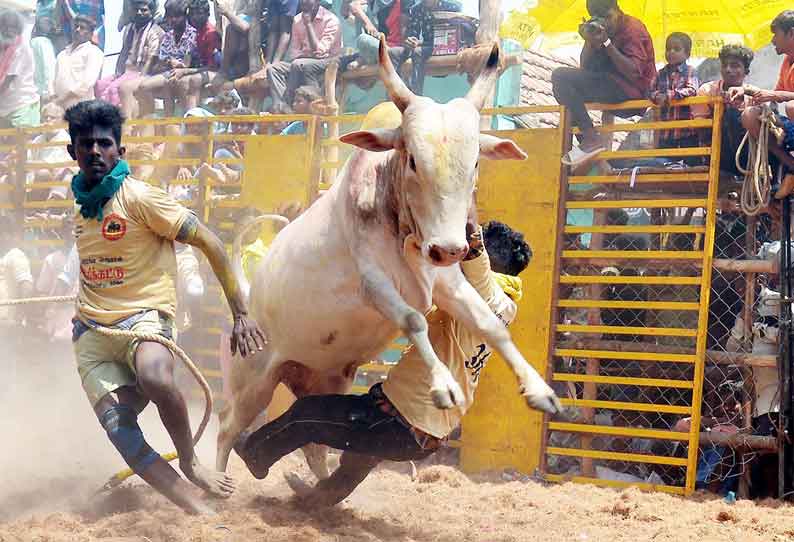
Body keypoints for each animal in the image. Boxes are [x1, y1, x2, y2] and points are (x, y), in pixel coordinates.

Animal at [217, 38, 560, 476]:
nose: (450, 248)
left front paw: (539, 390)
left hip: (326, 378)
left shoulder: (448, 283)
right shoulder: (374, 285)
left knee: (312, 446)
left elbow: (491, 325)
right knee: (227, 430)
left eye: (475, 163)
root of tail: (248, 295)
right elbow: (414, 319)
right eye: (413, 159)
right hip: (253, 382)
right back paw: (212, 481)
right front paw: (444, 386)